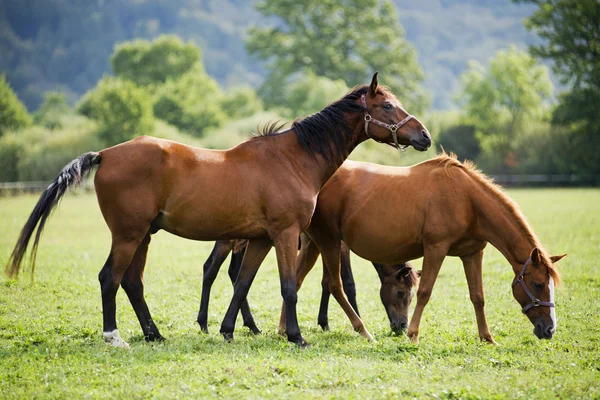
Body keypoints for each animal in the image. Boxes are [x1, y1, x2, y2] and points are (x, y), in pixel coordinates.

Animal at [197, 238, 418, 334]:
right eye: (401, 293)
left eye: (412, 296)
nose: (402, 326)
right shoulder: (340, 246)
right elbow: (348, 283)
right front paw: (357, 318)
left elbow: (326, 283)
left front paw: (324, 322)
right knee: (210, 269)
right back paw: (204, 323)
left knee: (235, 273)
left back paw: (251, 325)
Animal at [270, 156, 564, 344]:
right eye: (538, 285)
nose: (549, 329)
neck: (466, 199)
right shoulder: (435, 248)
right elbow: (425, 292)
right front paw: (413, 334)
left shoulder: (472, 254)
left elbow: (478, 296)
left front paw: (487, 338)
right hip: (329, 243)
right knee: (333, 284)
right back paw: (362, 331)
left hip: (315, 244)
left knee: (296, 280)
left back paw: (285, 329)